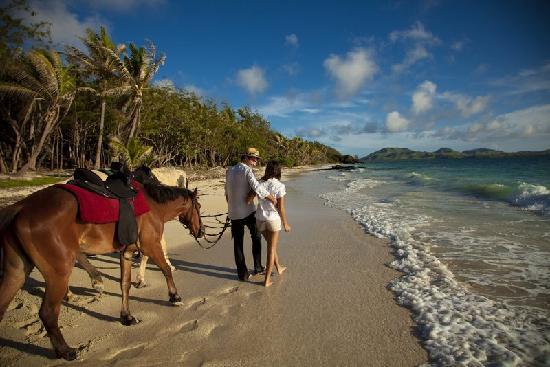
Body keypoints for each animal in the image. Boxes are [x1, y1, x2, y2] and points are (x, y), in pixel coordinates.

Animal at [0, 183, 205, 360]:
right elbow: (166, 270)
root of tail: (20, 208)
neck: (153, 206)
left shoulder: (126, 253)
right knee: (48, 313)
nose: (201, 231)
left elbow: (125, 285)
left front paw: (127, 317)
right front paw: (174, 296)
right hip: (58, 274)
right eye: (199, 206)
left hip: (16, 272)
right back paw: (66, 351)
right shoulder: (151, 246)